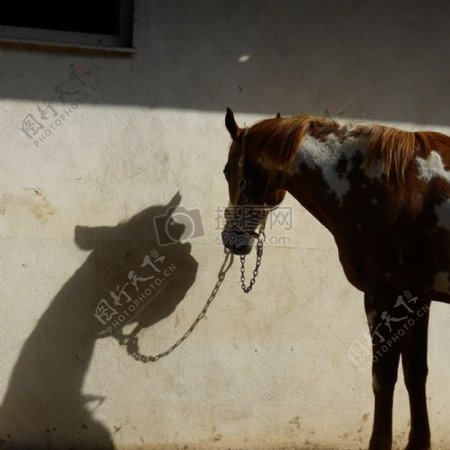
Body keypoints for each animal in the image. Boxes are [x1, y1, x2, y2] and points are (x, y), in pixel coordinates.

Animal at [221, 109, 450, 450]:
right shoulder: (417, 297)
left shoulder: (385, 295)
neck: (389, 185)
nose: (231, 239)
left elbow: (383, 377)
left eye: (227, 171)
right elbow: (415, 373)